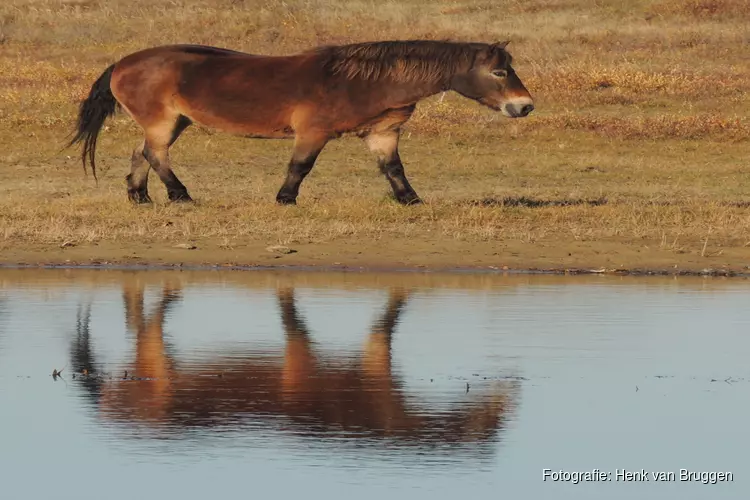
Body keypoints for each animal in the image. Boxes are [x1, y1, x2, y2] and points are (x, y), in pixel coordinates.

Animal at [64, 38, 536, 207]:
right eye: (499, 72)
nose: (526, 107)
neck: (361, 79)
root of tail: (122, 63)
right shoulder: (313, 133)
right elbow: (300, 167)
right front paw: (285, 199)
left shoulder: (382, 133)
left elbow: (394, 169)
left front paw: (411, 201)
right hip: (164, 123)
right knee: (155, 153)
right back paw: (180, 196)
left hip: (174, 121)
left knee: (142, 152)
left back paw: (140, 197)